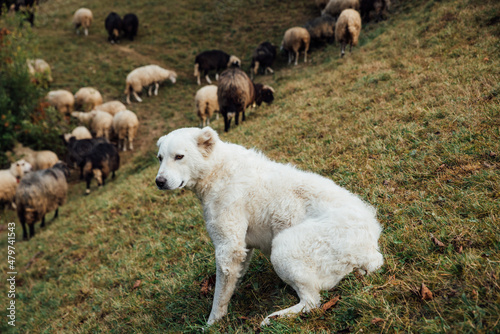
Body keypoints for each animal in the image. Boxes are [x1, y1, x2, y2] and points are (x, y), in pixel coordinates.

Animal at [154, 126, 384, 324]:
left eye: (179, 156)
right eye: (160, 158)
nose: (159, 181)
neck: (217, 169)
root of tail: (370, 251)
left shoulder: (228, 247)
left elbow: (219, 293)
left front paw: (212, 322)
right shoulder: (242, 247)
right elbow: (232, 280)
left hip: (284, 246)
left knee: (312, 301)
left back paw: (274, 318)